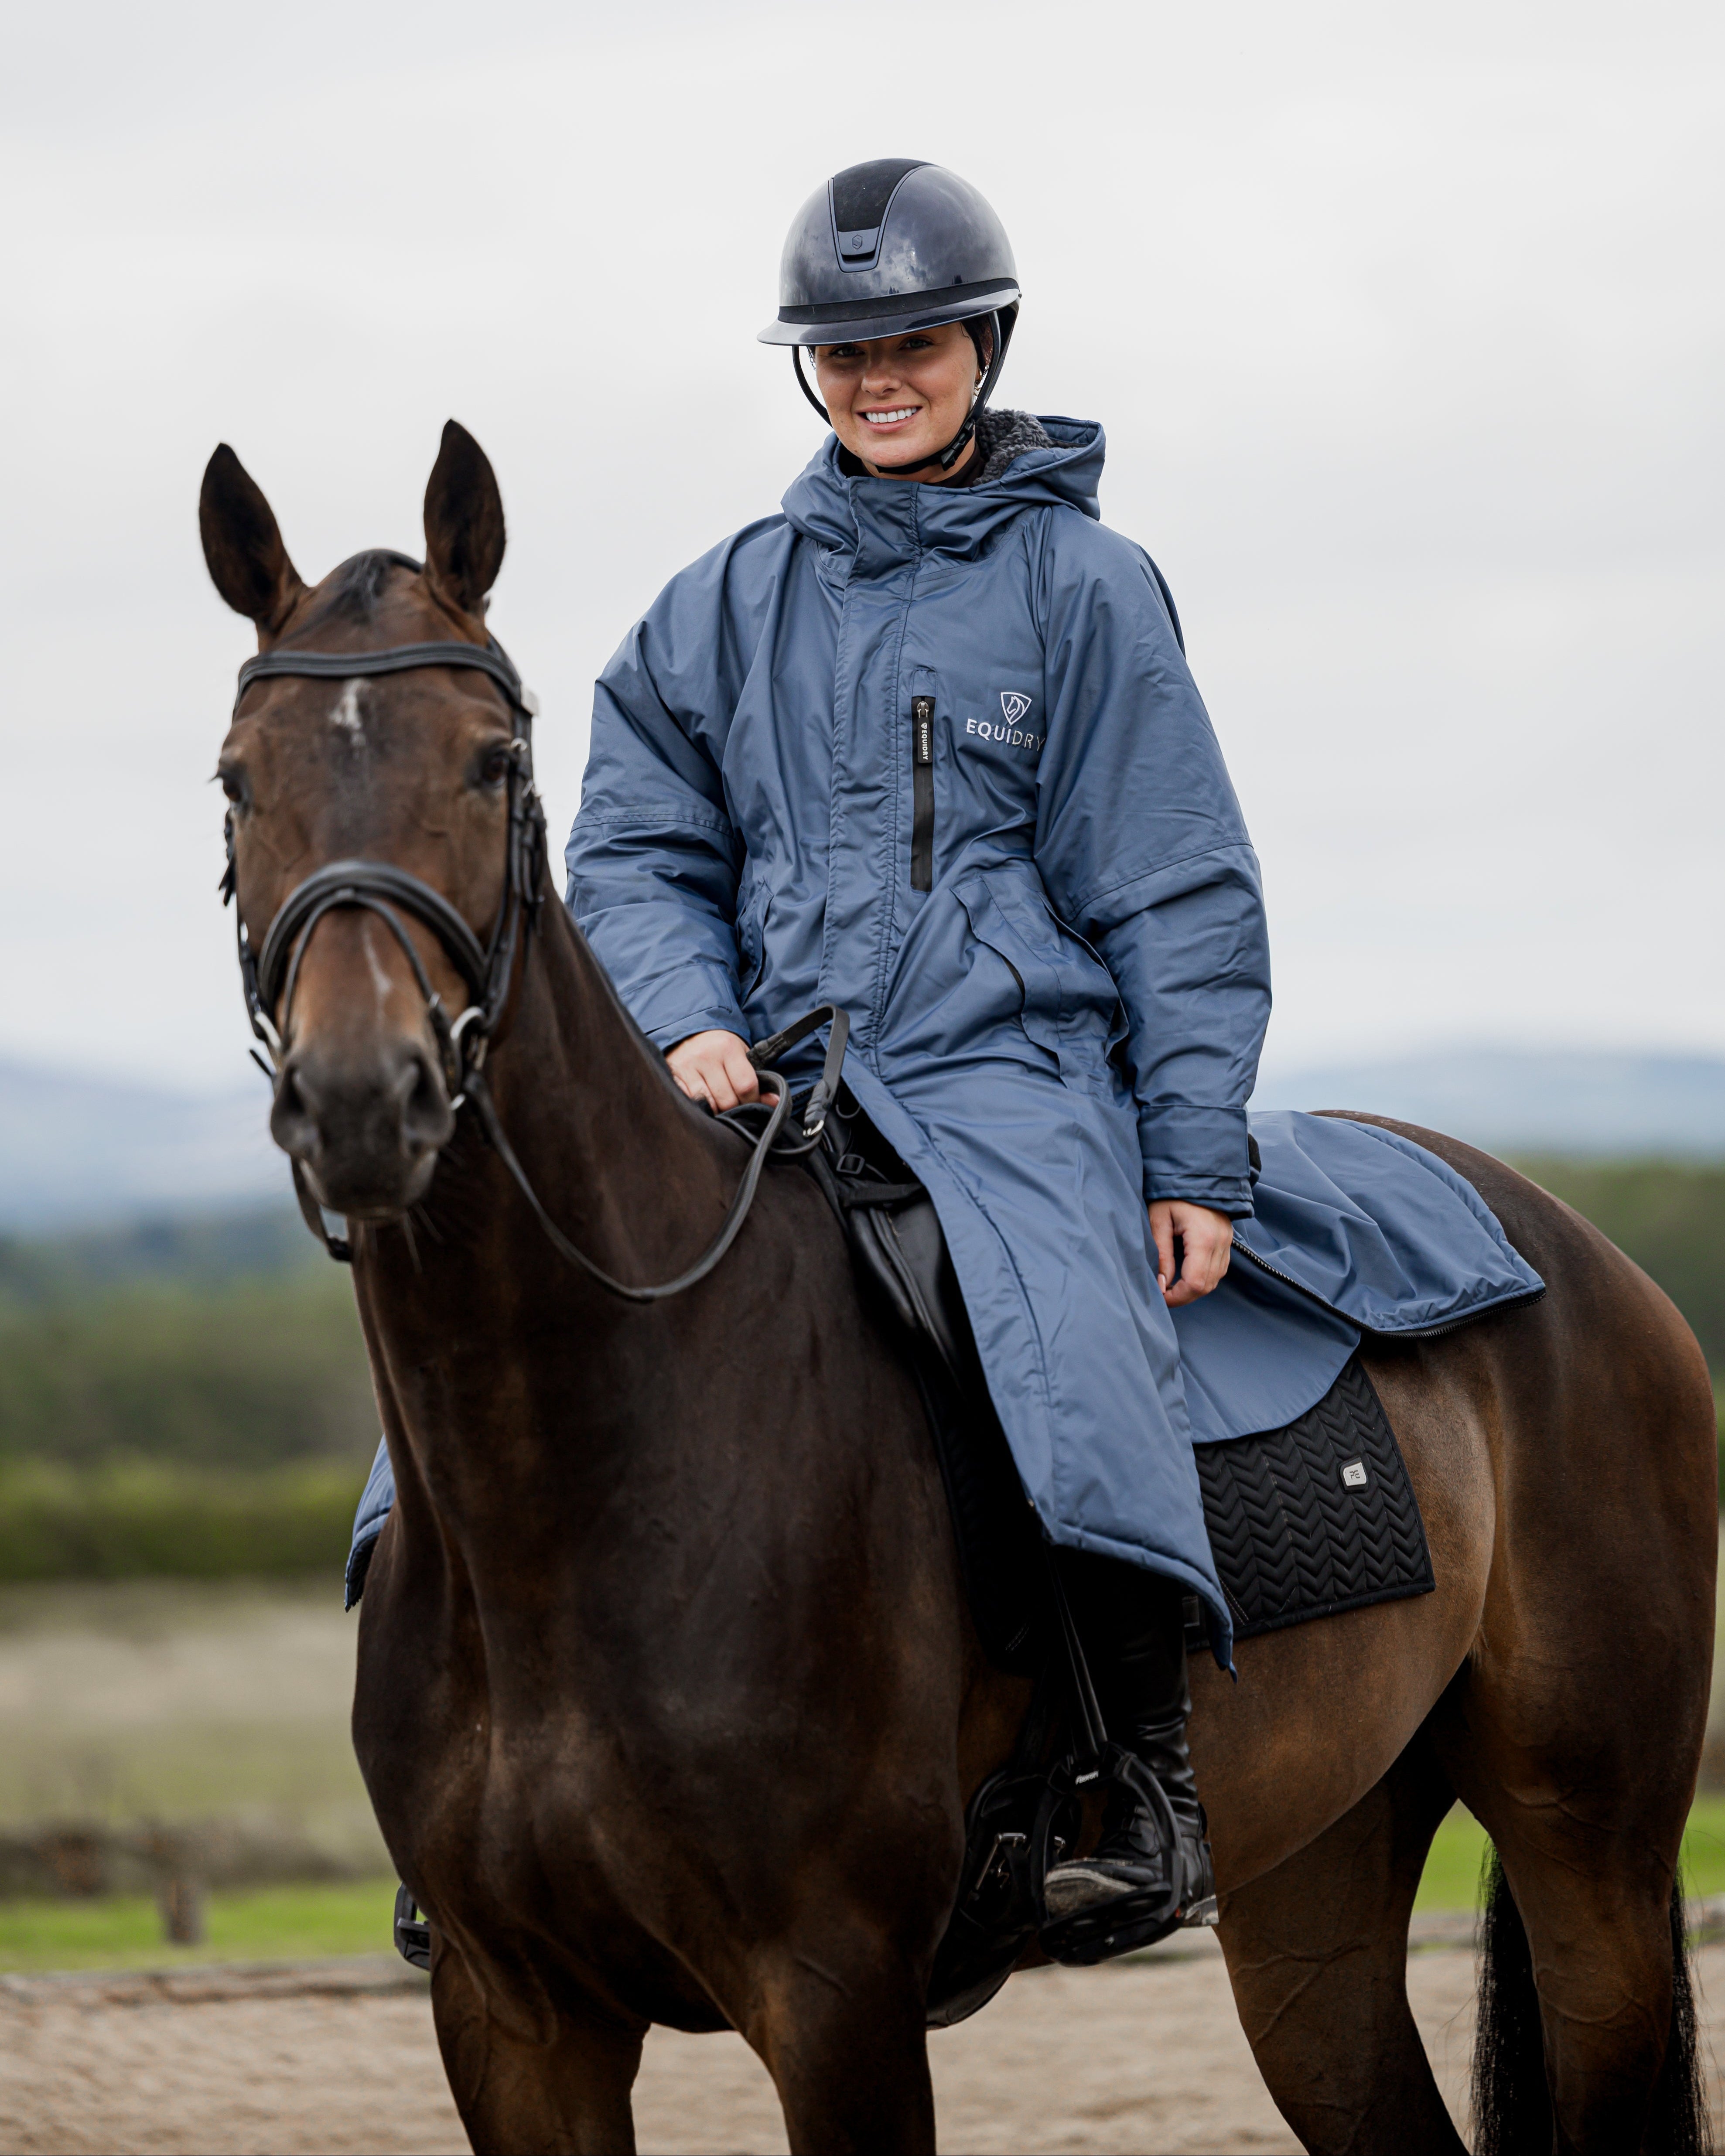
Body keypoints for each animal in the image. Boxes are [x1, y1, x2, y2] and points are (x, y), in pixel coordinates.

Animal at [201, 420, 1717, 2155]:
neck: (589, 1465)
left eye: (489, 765)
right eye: (238, 778)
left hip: (1590, 1857)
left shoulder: (836, 1995)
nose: (360, 1097)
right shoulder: (513, 2018)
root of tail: (1573, 1247)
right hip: (1314, 1885)